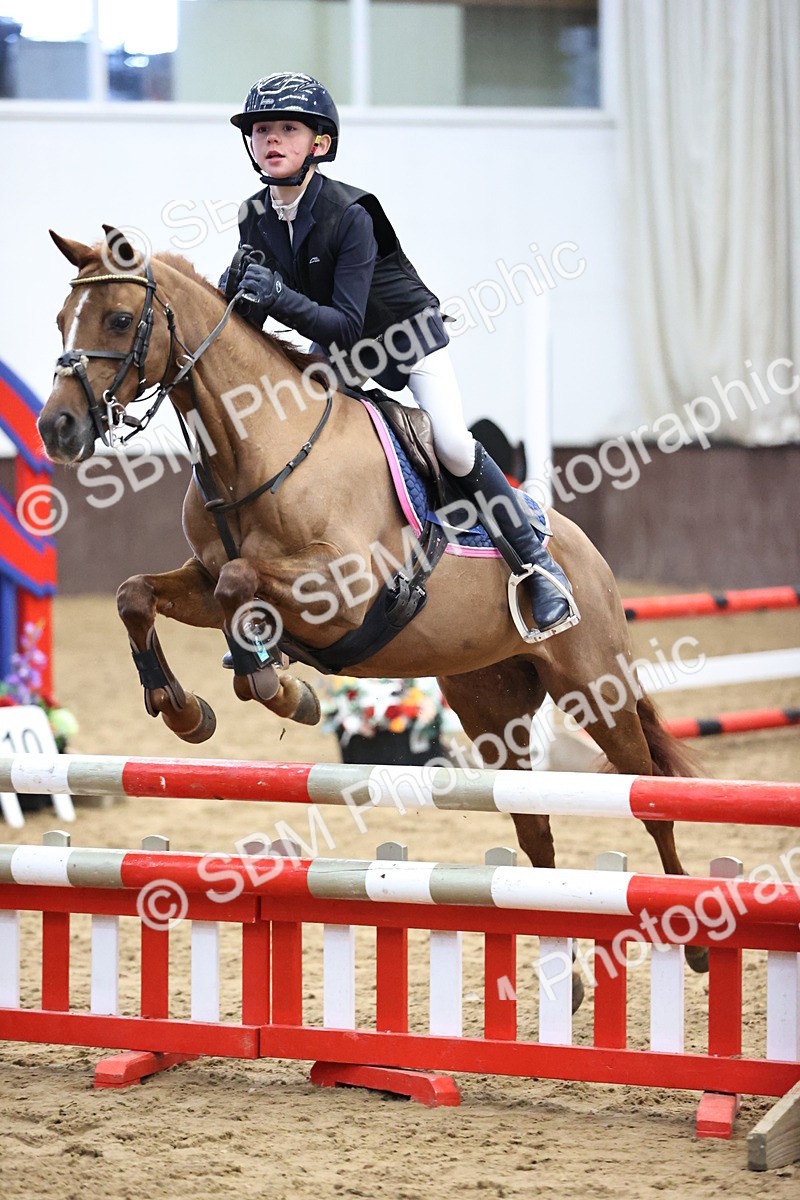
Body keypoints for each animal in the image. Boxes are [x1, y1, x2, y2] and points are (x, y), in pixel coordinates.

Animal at [39, 227, 708, 989]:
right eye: (61, 322)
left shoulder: (345, 590)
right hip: (491, 704)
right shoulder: (205, 583)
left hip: (594, 686)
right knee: (533, 824)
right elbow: (140, 594)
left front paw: (279, 687)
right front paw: (186, 709)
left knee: (651, 796)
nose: (57, 428)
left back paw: (687, 934)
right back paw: (560, 971)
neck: (257, 447)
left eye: (120, 319)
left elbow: (242, 585)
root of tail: (586, 554)